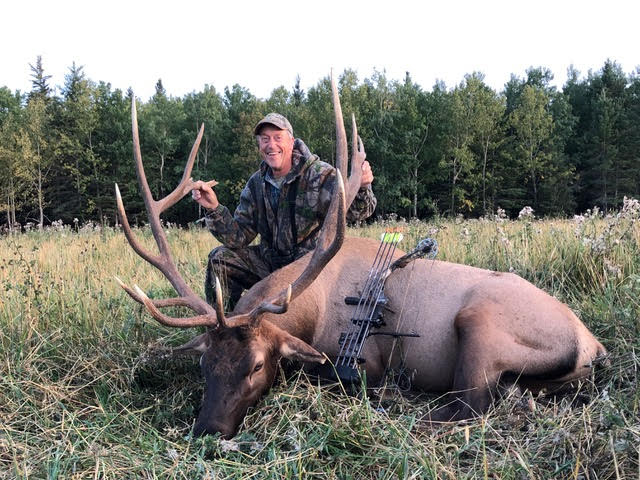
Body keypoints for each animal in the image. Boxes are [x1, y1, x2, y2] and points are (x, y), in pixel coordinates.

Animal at [114, 75, 608, 439]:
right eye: (204, 364)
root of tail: (593, 345)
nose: (209, 430)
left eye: (256, 365)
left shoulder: (363, 361)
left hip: (481, 324)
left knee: (472, 405)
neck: (314, 309)